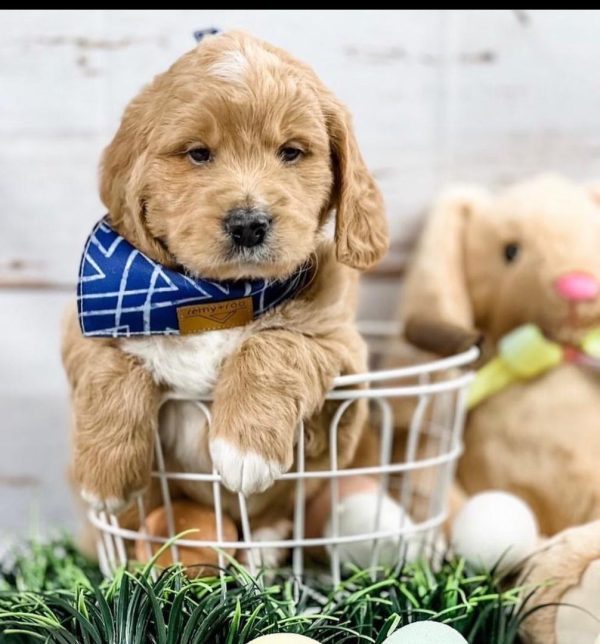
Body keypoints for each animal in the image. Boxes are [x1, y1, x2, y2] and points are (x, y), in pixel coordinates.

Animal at [62, 31, 390, 544]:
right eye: (198, 154)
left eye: (291, 152)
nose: (249, 225)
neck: (216, 294)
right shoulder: (83, 319)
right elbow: (110, 361)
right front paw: (105, 475)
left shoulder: (345, 356)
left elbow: (279, 343)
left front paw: (244, 448)